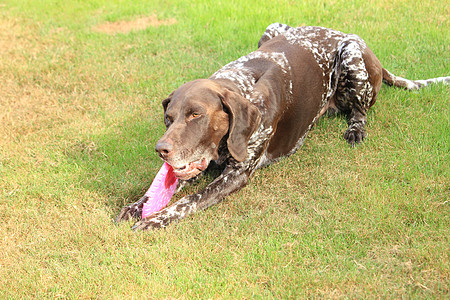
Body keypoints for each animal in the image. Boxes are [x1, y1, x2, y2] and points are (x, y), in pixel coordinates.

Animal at [117, 22, 450, 230]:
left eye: (195, 114)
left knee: (361, 109)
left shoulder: (235, 175)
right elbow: (158, 191)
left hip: (352, 54)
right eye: (168, 118)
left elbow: (188, 201)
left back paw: (356, 128)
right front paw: (137, 205)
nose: (161, 149)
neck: (242, 85)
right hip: (273, 28)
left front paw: (154, 219)